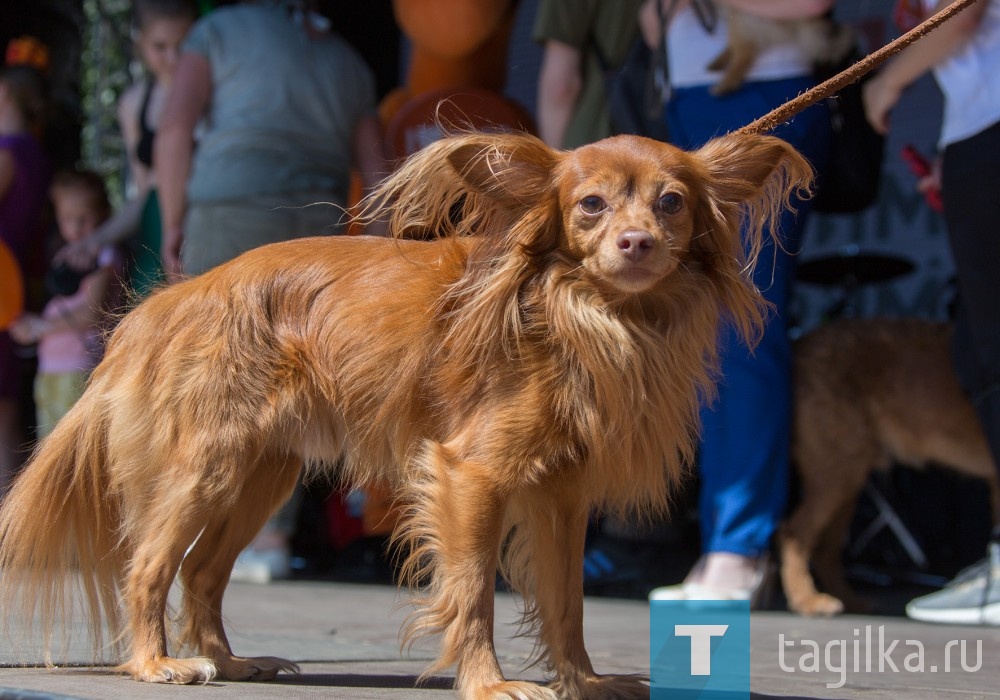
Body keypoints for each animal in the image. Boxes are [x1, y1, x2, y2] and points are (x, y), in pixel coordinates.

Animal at [0, 131, 808, 700]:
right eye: (590, 206)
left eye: (672, 203)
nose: (636, 243)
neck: (587, 314)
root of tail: (167, 303)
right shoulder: (469, 475)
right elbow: (473, 593)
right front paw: (490, 683)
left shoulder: (562, 498)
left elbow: (566, 603)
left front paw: (583, 682)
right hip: (206, 469)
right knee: (145, 566)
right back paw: (156, 663)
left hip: (260, 476)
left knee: (199, 572)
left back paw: (230, 661)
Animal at [780, 320, 1000, 616]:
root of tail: (798, 342)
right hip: (836, 472)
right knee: (793, 533)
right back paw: (807, 600)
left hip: (847, 477)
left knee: (825, 549)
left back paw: (849, 601)